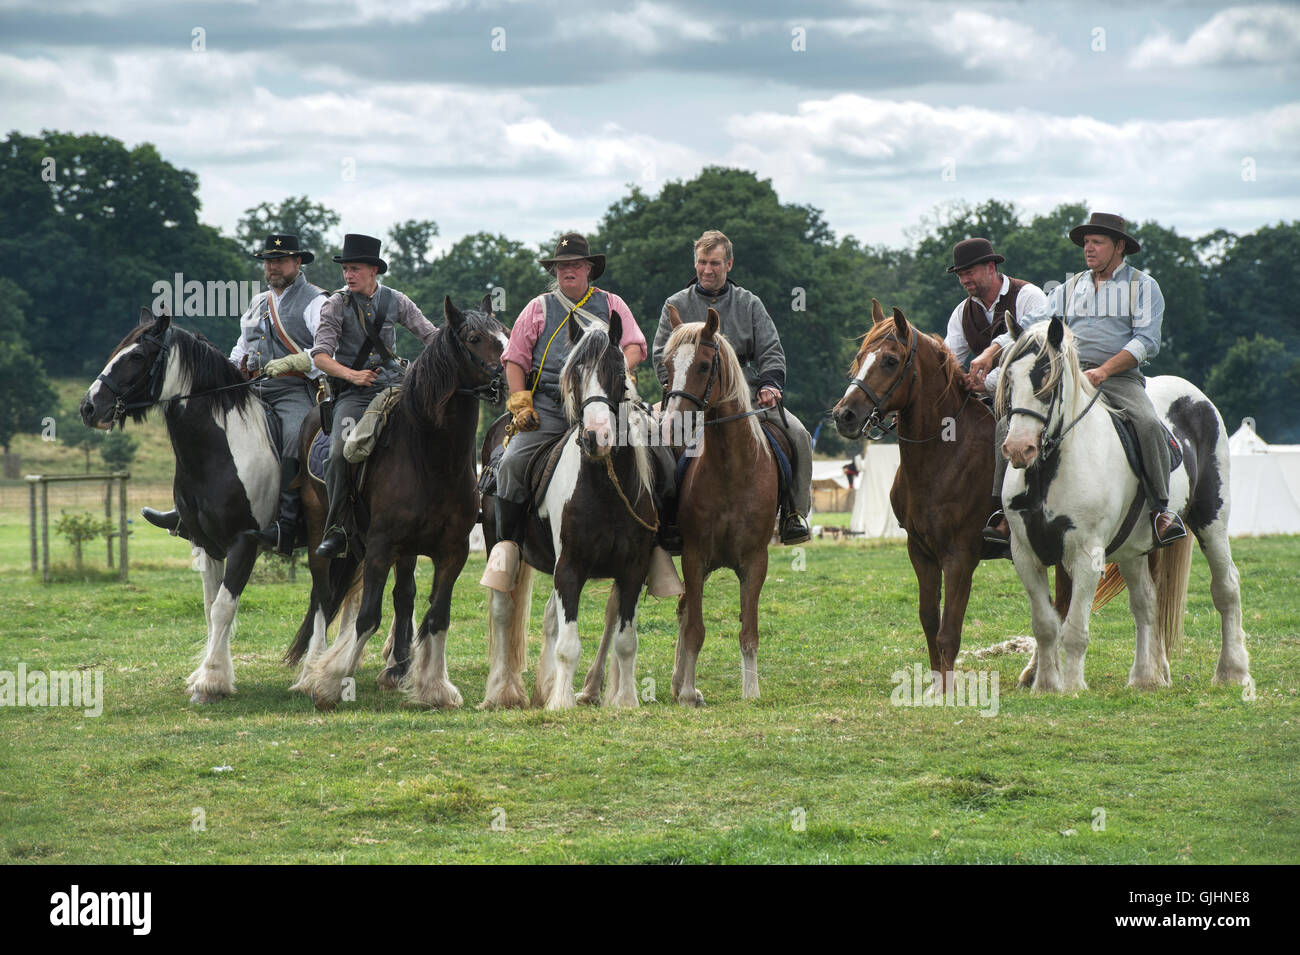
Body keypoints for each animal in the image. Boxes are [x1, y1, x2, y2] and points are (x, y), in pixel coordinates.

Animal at [81, 306, 330, 701]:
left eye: (137, 356)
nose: (89, 407)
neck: (219, 450)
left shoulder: (244, 542)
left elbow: (224, 608)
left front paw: (210, 680)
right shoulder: (206, 543)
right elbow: (211, 607)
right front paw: (214, 676)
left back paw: (321, 673)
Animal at [299, 298, 506, 712]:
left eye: (505, 333)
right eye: (475, 338)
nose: (507, 379)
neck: (429, 456)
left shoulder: (452, 552)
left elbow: (437, 616)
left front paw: (433, 686)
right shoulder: (380, 547)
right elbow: (367, 616)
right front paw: (329, 681)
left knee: (403, 595)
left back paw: (396, 668)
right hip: (322, 536)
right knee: (323, 597)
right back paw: (311, 668)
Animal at [660, 304, 769, 701]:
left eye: (705, 366)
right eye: (667, 364)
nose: (671, 426)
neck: (731, 468)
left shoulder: (755, 562)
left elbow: (748, 631)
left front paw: (751, 691)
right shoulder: (694, 558)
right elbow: (695, 629)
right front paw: (689, 693)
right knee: (685, 612)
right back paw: (681, 685)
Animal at [832, 302, 1066, 686]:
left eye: (890, 360)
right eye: (860, 356)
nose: (845, 415)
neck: (943, 453)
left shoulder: (960, 557)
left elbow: (950, 630)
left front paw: (946, 689)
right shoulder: (921, 552)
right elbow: (930, 619)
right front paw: (934, 683)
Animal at [993, 317, 1248, 691]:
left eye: (1047, 378)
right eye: (1009, 377)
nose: (1018, 448)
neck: (1050, 470)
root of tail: (1198, 398)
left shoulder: (1086, 554)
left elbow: (1074, 629)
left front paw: (1072, 688)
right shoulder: (1025, 554)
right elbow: (1045, 625)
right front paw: (1046, 686)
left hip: (1211, 522)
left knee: (1226, 588)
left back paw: (1233, 672)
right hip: (1133, 550)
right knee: (1146, 603)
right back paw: (1145, 677)